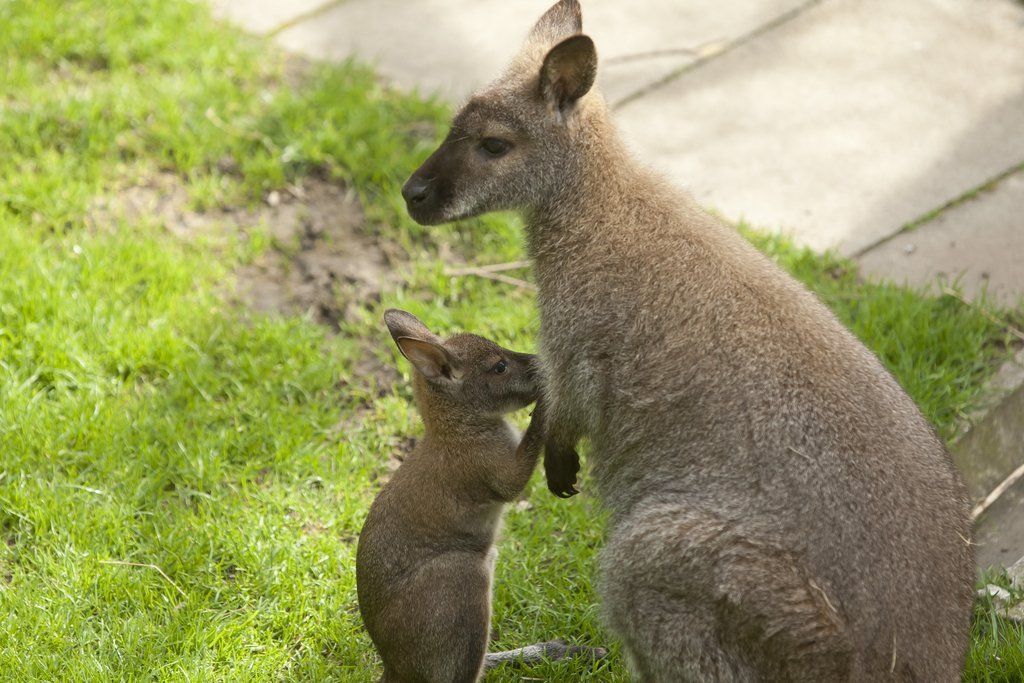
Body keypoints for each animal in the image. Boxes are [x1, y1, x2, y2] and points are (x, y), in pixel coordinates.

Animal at [399, 1, 975, 681]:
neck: (592, 207)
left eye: (494, 145)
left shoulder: (579, 338)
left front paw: (562, 470)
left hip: (672, 562)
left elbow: (569, 401)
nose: (411, 195)